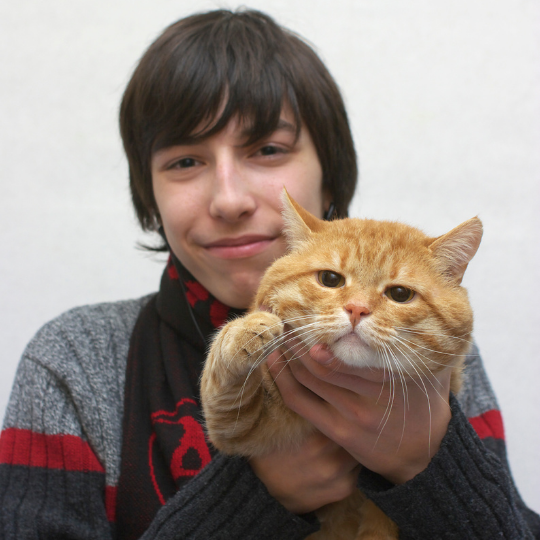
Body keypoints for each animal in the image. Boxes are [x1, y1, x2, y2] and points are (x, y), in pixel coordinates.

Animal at [200, 191, 484, 540]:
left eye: (400, 294)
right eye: (330, 279)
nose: (357, 309)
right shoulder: (239, 432)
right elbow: (221, 381)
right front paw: (248, 328)